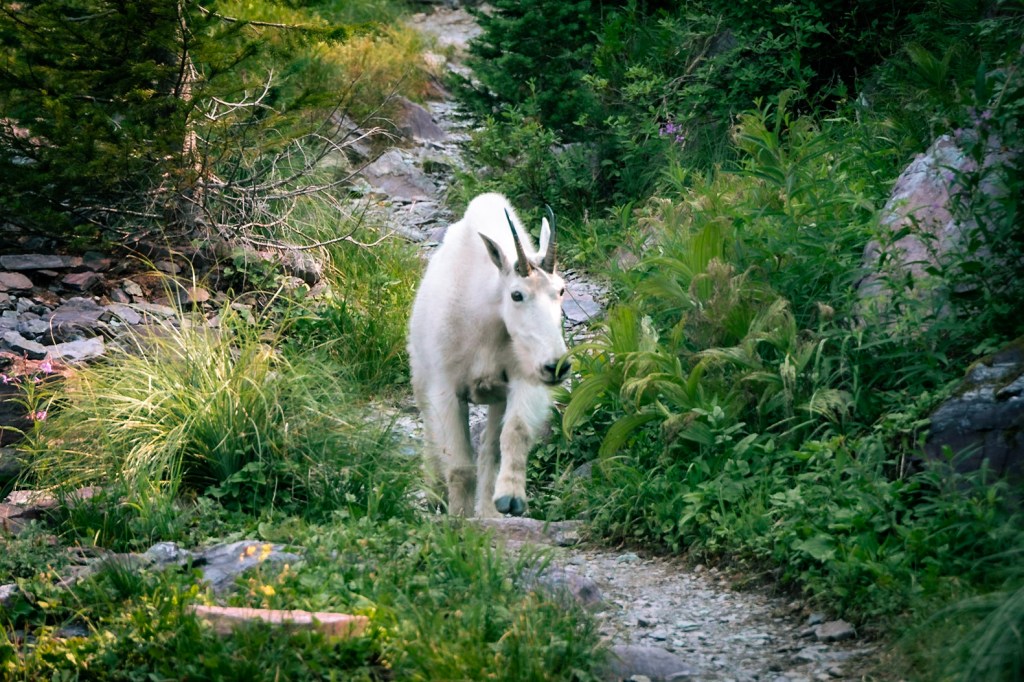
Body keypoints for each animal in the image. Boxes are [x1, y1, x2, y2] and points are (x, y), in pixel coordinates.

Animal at [408, 193, 569, 517]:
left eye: (560, 290)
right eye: (517, 294)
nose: (556, 366)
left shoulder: (522, 380)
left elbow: (514, 434)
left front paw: (510, 498)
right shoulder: (446, 389)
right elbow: (459, 465)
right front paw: (459, 517)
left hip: (496, 397)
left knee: (489, 449)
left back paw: (489, 511)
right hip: (420, 376)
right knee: (430, 432)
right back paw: (435, 494)